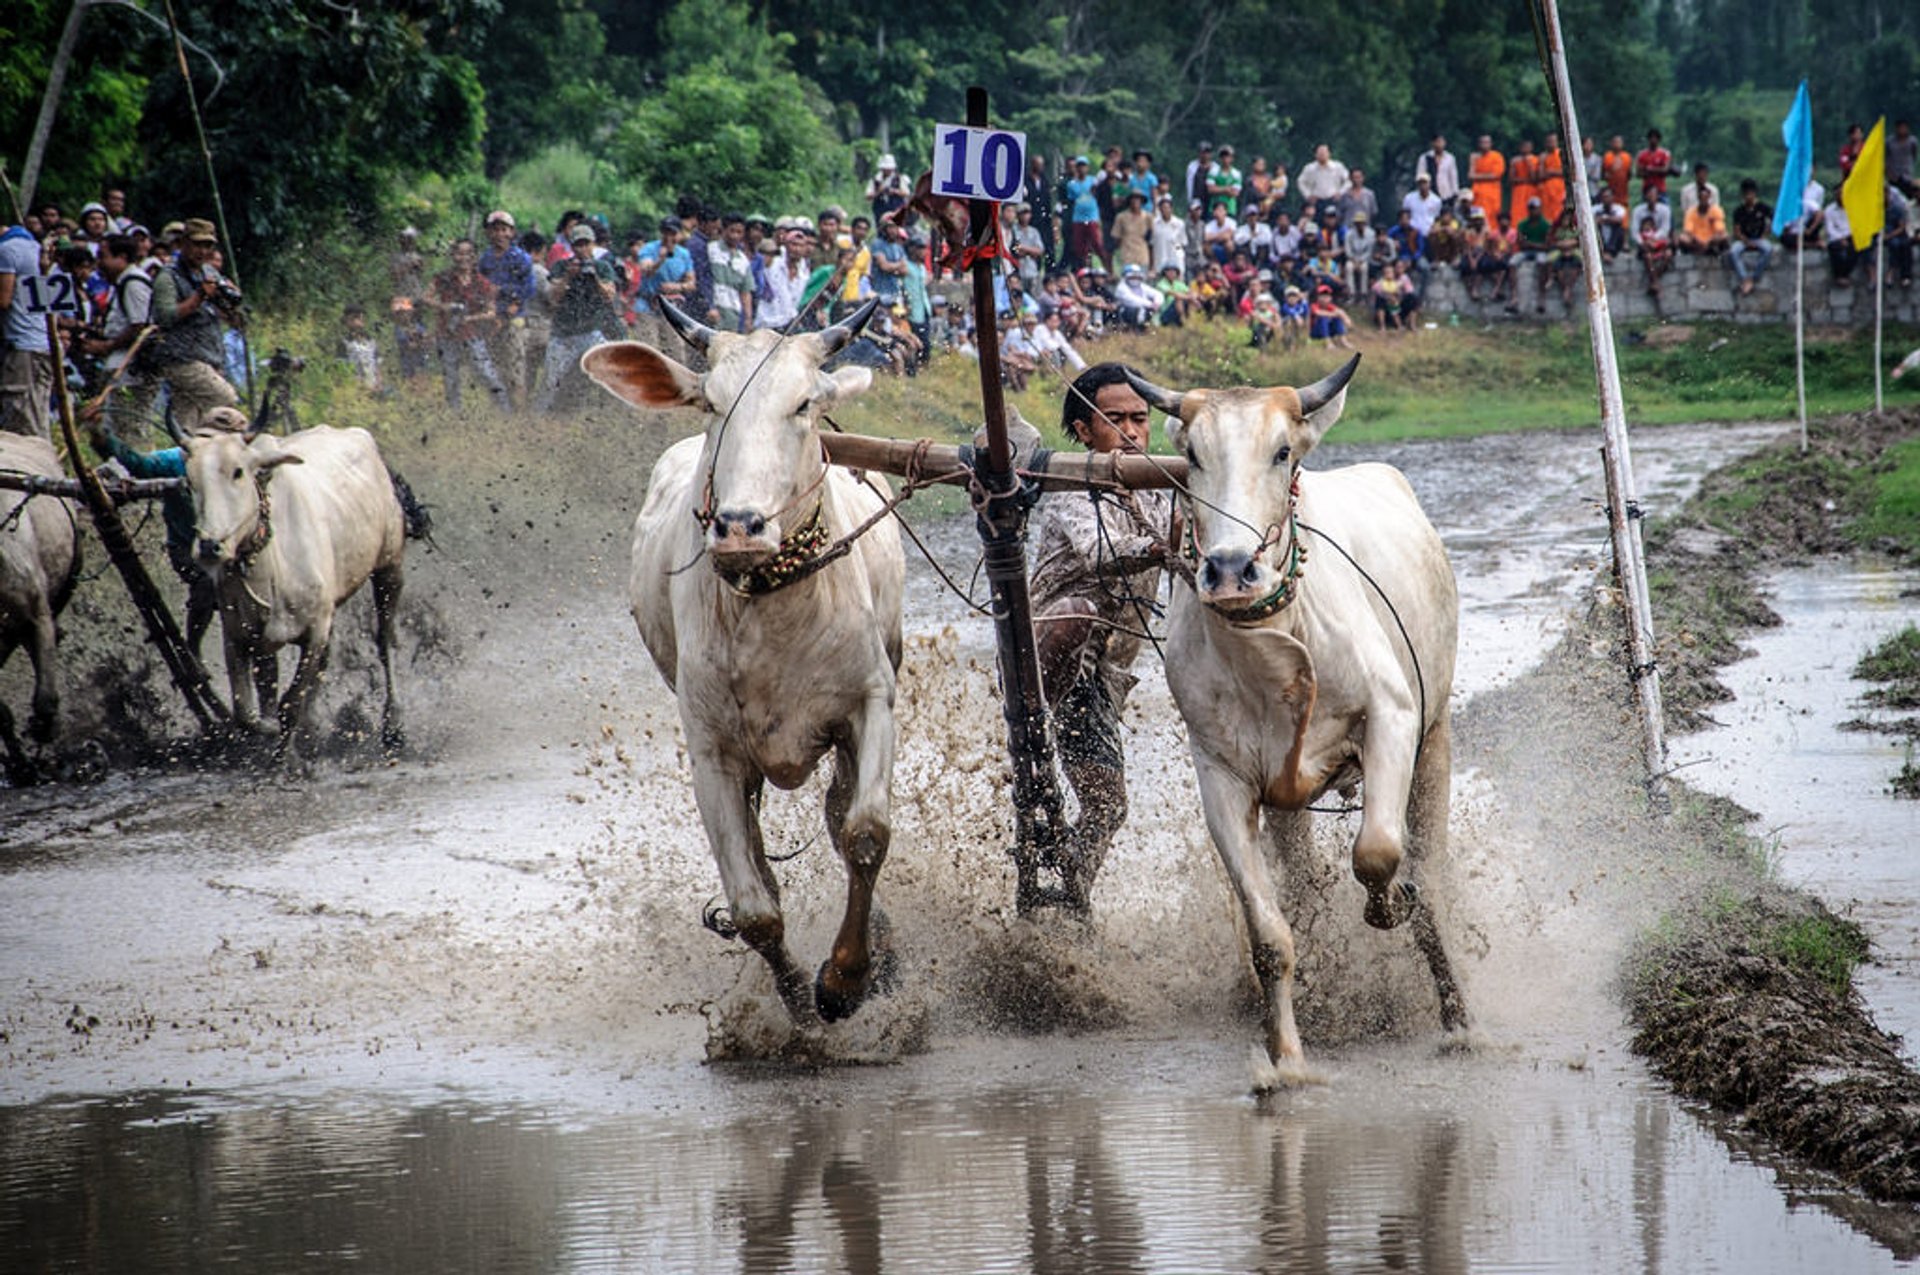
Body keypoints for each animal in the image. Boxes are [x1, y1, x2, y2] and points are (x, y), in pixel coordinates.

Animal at [183, 422, 405, 752]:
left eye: (238, 472)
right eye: (189, 480)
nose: (210, 546)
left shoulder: (314, 631)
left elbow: (290, 704)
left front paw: (286, 756)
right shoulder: (237, 637)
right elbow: (246, 714)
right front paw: (273, 731)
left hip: (389, 568)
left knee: (385, 641)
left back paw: (393, 726)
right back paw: (311, 730)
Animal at [583, 301, 906, 1029]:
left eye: (804, 403)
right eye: (711, 402)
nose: (739, 526)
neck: (772, 607)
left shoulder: (871, 701)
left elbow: (865, 832)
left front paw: (846, 978)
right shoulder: (713, 754)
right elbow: (757, 908)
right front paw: (800, 1006)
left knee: (840, 816)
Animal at [1121, 359, 1466, 1082]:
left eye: (1282, 453)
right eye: (1192, 456)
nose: (1229, 570)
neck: (1272, 640)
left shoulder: (1393, 718)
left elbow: (1378, 854)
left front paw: (1391, 903)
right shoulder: (1223, 776)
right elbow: (1270, 936)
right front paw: (1285, 1062)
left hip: (1436, 737)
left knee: (1431, 876)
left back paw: (1458, 1016)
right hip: (1288, 802)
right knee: (1306, 889)